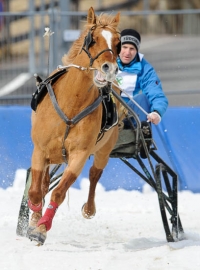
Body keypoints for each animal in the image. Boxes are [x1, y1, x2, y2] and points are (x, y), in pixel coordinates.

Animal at [27, 7, 121, 246]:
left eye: (117, 43)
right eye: (92, 39)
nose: (109, 68)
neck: (72, 104)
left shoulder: (79, 154)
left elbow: (59, 192)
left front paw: (42, 229)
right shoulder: (40, 150)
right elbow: (35, 191)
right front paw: (34, 220)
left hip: (105, 149)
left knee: (95, 173)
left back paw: (89, 208)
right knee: (42, 184)